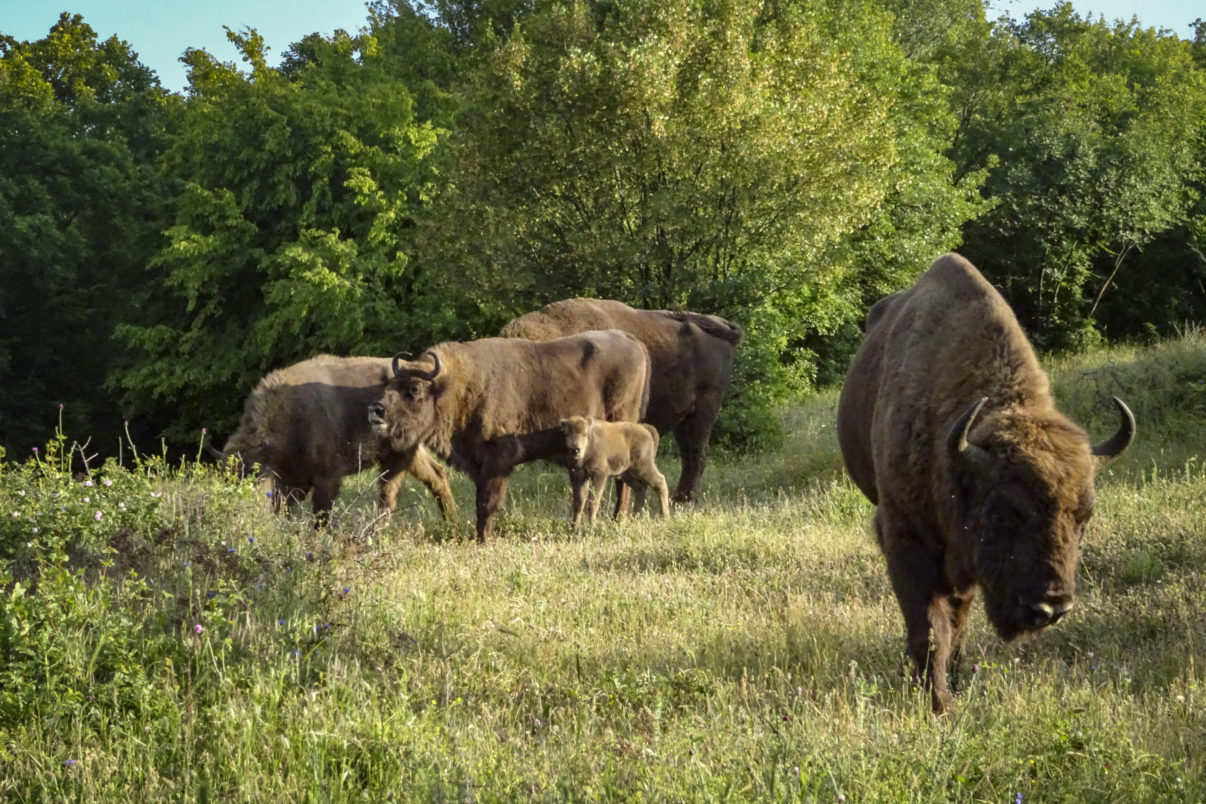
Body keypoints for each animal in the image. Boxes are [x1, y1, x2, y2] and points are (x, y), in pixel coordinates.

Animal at [212, 354, 455, 525]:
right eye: (226, 478)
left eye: (254, 475)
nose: (240, 510)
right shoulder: (295, 483)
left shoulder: (327, 479)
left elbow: (321, 516)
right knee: (437, 476)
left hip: (400, 455)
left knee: (390, 496)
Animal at [366, 330, 651, 544]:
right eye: (390, 385)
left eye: (414, 388)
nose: (376, 410)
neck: (458, 388)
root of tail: (633, 342)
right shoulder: (478, 464)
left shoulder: (497, 460)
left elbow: (487, 503)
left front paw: (483, 539)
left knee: (623, 480)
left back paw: (617, 519)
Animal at [494, 298, 738, 506]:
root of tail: (718, 323)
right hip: (684, 419)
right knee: (689, 455)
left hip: (703, 412)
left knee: (696, 455)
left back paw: (683, 501)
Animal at [834, 254, 1133, 713]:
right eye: (1004, 512)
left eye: (1084, 516)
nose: (1050, 608)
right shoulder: (904, 539)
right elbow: (929, 627)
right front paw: (937, 704)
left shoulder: (966, 565)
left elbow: (955, 623)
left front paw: (952, 683)